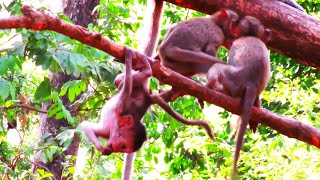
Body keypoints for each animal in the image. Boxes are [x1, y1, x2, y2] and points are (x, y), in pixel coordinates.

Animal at [80, 47, 215, 155]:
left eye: (124, 148)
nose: (115, 149)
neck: (116, 125)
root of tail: (147, 96)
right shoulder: (115, 116)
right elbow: (86, 126)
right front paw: (128, 57)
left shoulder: (109, 131)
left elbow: (86, 126)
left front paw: (104, 149)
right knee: (129, 79)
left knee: (129, 78)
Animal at [206, 15, 272, 179]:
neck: (251, 35)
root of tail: (251, 83)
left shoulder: (235, 44)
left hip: (233, 80)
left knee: (218, 67)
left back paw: (211, 85)